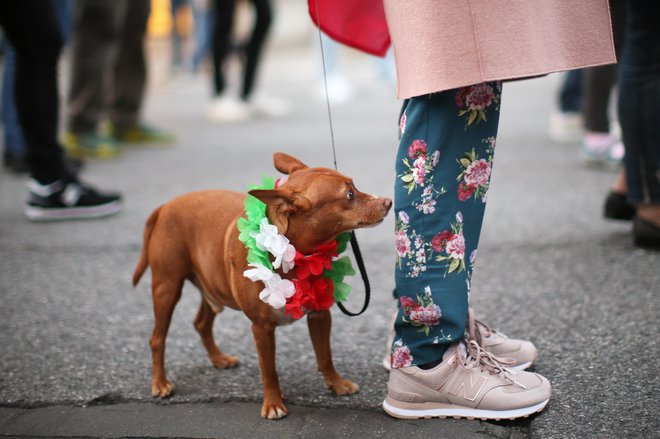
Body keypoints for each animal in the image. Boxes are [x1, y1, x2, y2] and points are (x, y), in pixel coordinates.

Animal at [133, 153, 392, 422]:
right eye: (349, 195)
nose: (388, 201)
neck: (294, 253)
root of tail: (166, 206)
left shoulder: (320, 315)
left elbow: (325, 356)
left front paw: (337, 384)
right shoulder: (261, 328)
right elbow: (269, 370)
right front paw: (273, 403)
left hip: (212, 286)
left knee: (201, 323)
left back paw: (218, 359)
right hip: (167, 288)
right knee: (157, 338)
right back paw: (160, 383)